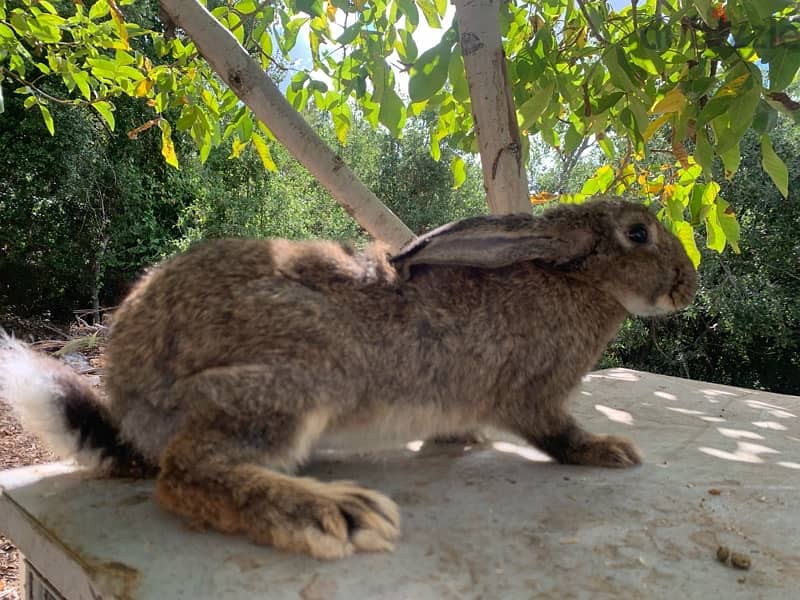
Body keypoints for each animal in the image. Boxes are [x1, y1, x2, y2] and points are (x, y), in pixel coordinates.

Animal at [0, 199, 692, 560]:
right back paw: (334, 513)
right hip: (302, 375)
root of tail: (128, 390)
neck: (576, 281)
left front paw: (459, 441)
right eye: (638, 233)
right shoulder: (533, 394)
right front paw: (612, 450)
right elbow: (556, 433)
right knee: (183, 475)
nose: (688, 285)